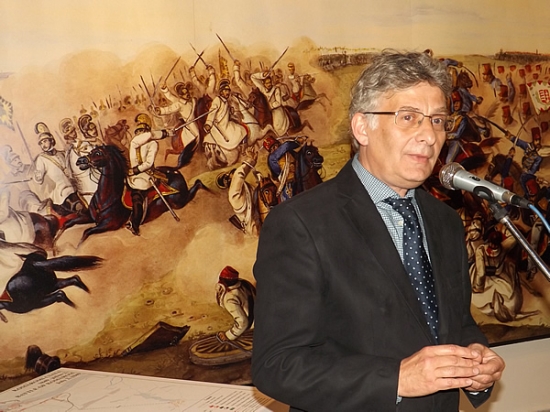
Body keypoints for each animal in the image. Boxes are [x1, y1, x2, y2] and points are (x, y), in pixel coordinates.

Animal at [60, 142, 207, 245]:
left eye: (97, 153)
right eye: (90, 151)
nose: (80, 161)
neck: (106, 198)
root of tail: (174, 170)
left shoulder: (107, 225)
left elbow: (86, 232)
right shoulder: (91, 217)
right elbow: (70, 223)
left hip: (178, 201)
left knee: (198, 183)